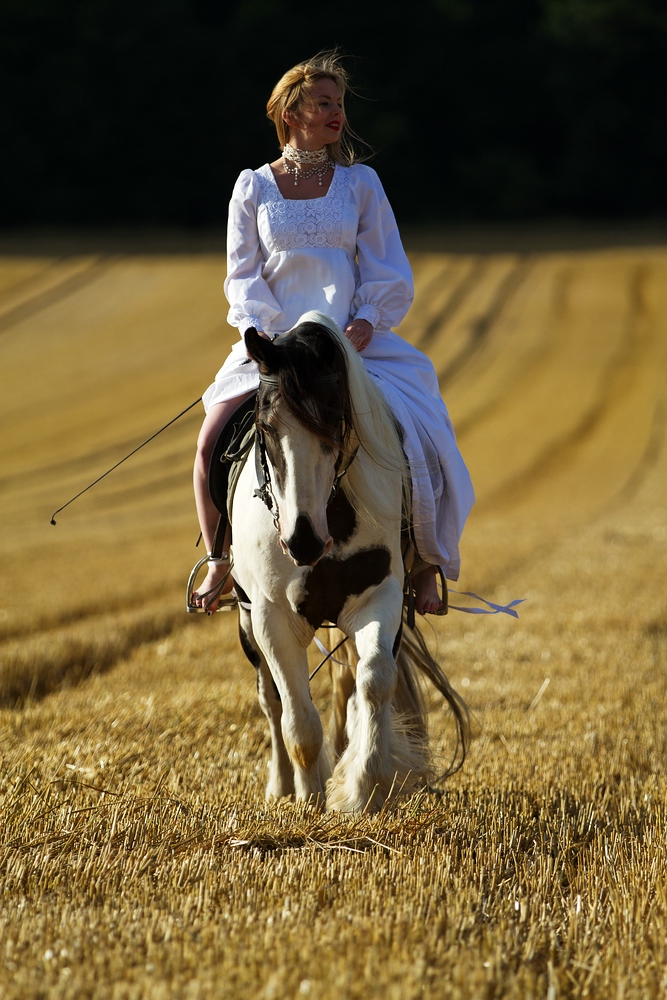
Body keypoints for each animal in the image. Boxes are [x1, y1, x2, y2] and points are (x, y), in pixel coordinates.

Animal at [232, 312, 468, 812]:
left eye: (335, 421)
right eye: (265, 427)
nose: (302, 540)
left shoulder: (378, 594)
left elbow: (375, 680)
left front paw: (365, 788)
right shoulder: (270, 615)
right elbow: (297, 718)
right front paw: (310, 799)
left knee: (351, 679)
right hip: (244, 617)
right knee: (271, 699)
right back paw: (281, 786)